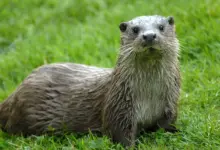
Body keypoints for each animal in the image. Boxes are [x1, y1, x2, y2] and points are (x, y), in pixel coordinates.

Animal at [0, 14, 180, 146]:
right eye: (135, 29)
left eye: (161, 27)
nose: (149, 35)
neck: (150, 95)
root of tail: (15, 93)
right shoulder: (119, 109)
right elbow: (120, 134)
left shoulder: (170, 105)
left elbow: (167, 125)